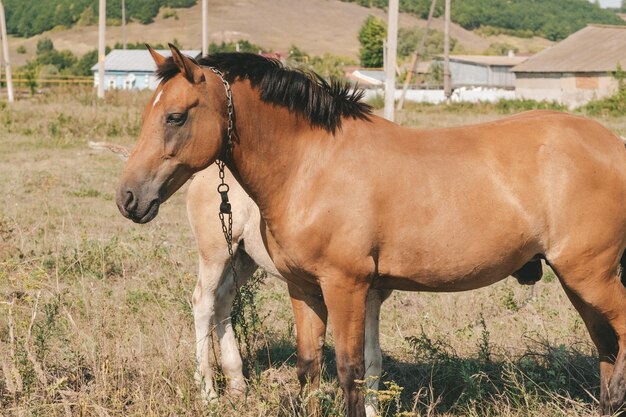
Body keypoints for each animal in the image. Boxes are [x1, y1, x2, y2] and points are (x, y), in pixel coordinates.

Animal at [116, 44, 624, 414]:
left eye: (175, 116)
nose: (128, 198)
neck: (312, 163)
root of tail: (614, 145)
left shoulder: (347, 286)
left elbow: (351, 369)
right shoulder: (305, 288)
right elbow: (309, 367)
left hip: (589, 275)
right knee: (605, 343)